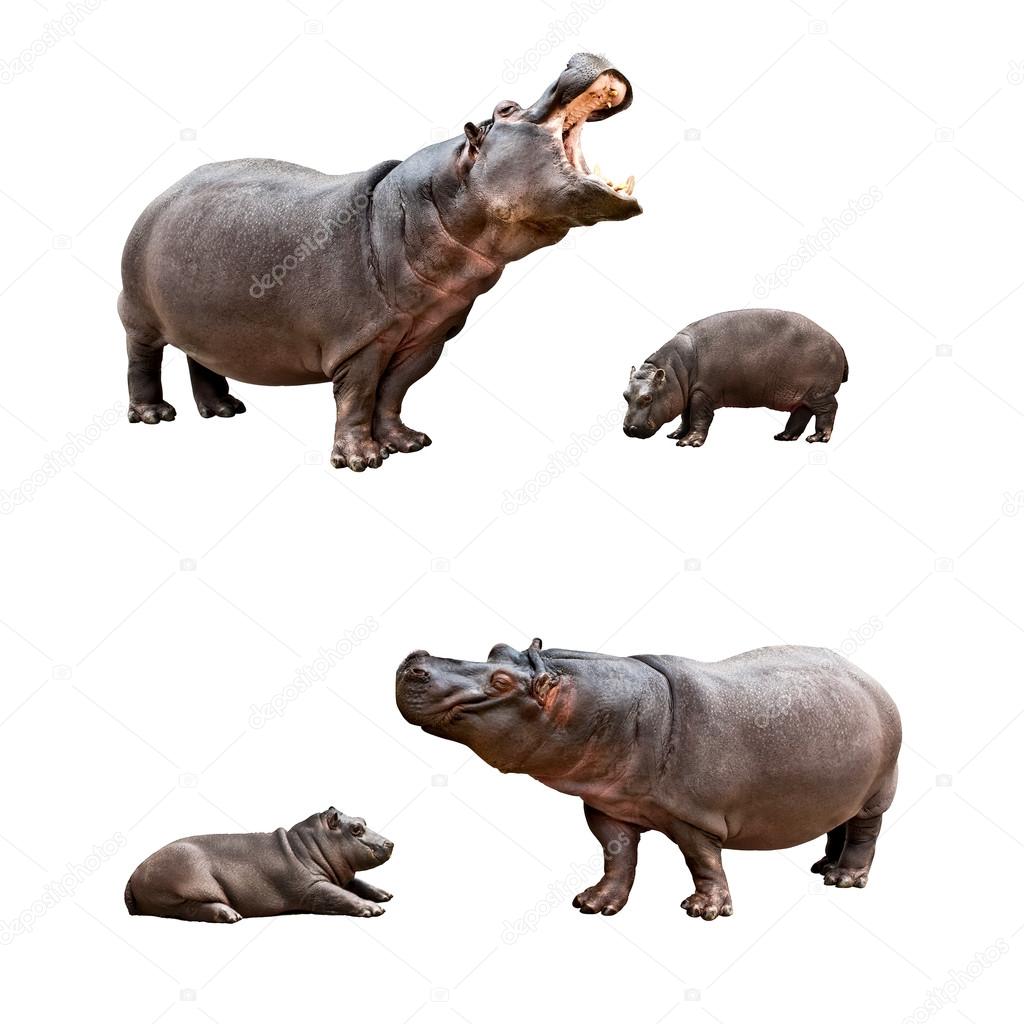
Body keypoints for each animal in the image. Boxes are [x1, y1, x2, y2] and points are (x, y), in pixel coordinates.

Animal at [118, 54, 641, 471]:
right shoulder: (362, 338)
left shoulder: (426, 335)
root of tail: (163, 192)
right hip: (138, 313)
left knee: (199, 355)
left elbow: (393, 392)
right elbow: (358, 396)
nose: (577, 56)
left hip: (201, 314)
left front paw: (407, 444)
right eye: (505, 110)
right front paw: (362, 461)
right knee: (142, 359)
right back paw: (153, 416)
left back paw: (226, 410)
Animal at [124, 808, 393, 923]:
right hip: (180, 885)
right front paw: (374, 909)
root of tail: (133, 873)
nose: (390, 842)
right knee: (189, 909)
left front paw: (385, 895)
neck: (310, 844)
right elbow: (340, 895)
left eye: (363, 820)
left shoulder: (342, 877)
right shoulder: (312, 886)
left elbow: (358, 883)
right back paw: (231, 915)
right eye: (356, 829)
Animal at [396, 640, 900, 920]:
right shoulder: (606, 806)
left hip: (879, 790)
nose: (415, 660)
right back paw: (823, 866)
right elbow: (616, 857)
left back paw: (844, 879)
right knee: (837, 823)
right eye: (496, 649)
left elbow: (702, 860)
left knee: (865, 832)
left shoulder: (693, 816)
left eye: (500, 681)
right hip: (840, 788)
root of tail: (867, 676)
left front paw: (704, 911)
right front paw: (594, 904)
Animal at [622, 309, 849, 447]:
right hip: (802, 394)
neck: (672, 373)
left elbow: (699, 417)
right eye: (625, 395)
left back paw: (818, 438)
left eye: (648, 398)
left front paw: (688, 443)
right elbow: (685, 416)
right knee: (801, 413)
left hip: (820, 393)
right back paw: (783, 437)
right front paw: (675, 435)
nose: (628, 429)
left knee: (829, 409)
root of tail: (838, 344)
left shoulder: (702, 392)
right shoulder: (687, 393)